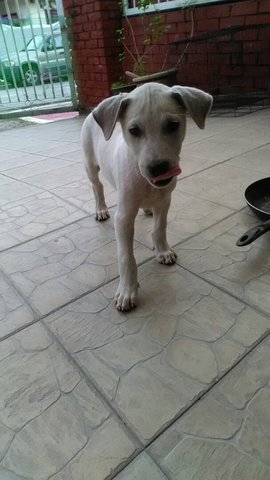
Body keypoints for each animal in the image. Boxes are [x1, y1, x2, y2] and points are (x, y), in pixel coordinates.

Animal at [81, 82, 212, 312]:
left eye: (173, 125)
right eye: (134, 131)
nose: (158, 168)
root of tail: (93, 112)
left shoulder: (165, 201)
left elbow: (159, 229)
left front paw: (162, 251)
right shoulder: (123, 217)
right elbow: (126, 257)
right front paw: (127, 291)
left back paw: (146, 208)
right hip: (91, 165)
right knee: (97, 187)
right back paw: (101, 209)